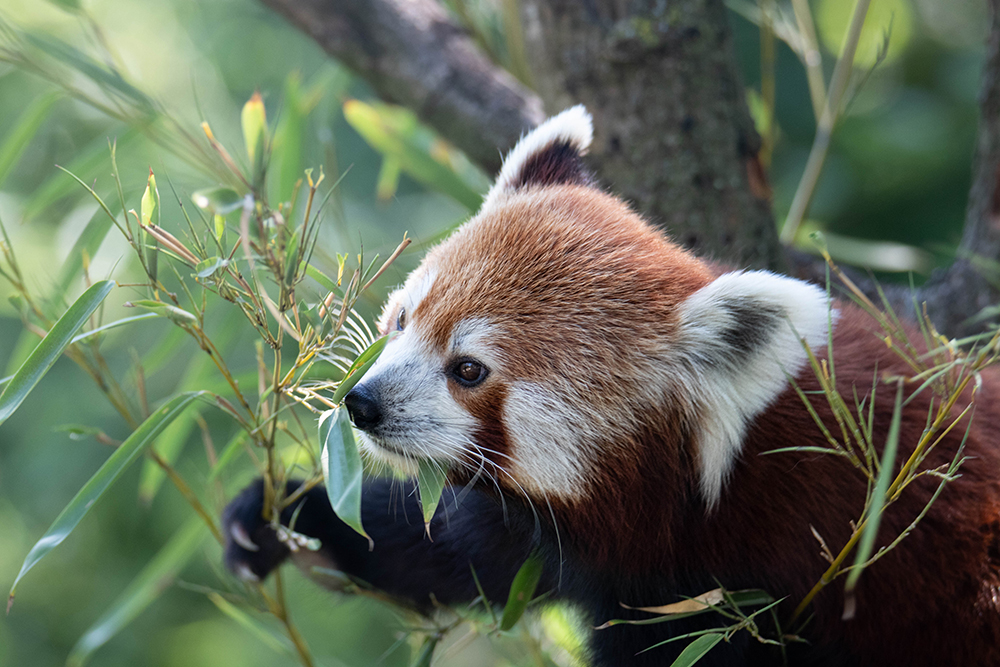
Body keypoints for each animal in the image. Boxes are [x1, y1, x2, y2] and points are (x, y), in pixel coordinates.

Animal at [223, 107, 1000, 664]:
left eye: (468, 369)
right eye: (405, 317)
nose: (363, 403)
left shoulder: (742, 589)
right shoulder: (571, 539)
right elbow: (454, 550)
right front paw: (289, 513)